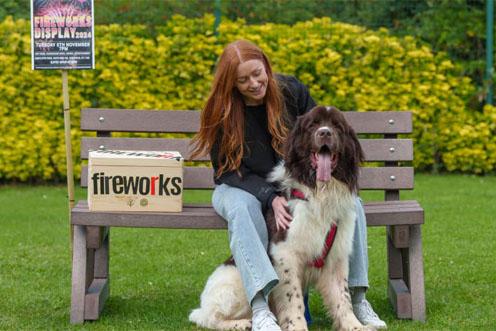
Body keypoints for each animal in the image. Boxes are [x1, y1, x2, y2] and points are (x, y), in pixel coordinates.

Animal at [190, 107, 372, 331]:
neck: (318, 192)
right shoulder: (285, 253)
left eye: (337, 126)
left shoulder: (337, 256)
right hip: (232, 281)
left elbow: (342, 297)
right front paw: (297, 327)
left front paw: (354, 326)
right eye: (313, 125)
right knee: (209, 316)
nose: (325, 133)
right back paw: (243, 323)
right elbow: (293, 299)